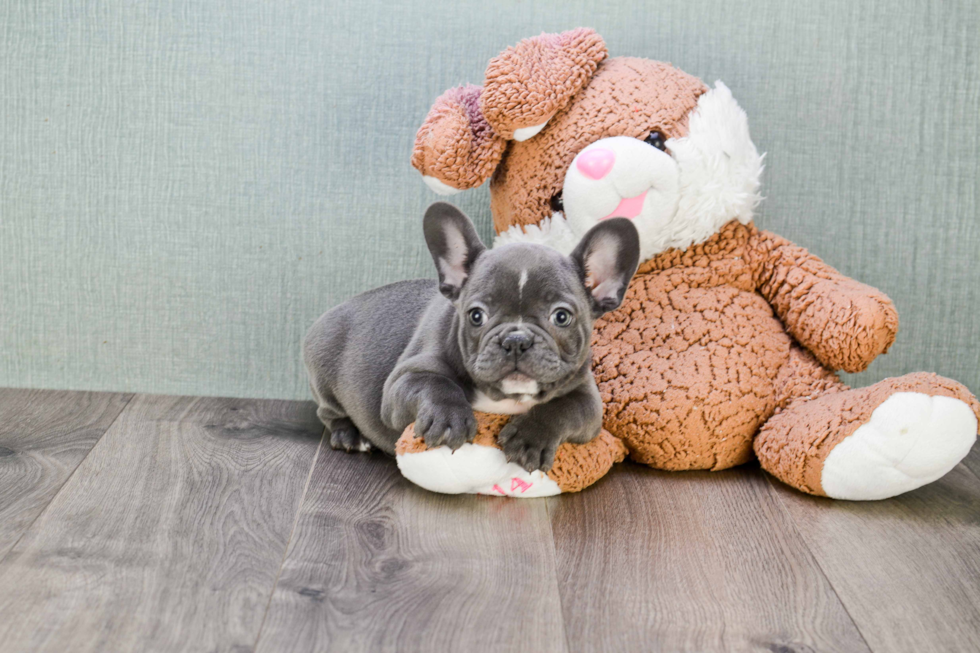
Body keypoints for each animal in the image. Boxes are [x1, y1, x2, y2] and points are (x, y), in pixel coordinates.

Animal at [306, 201, 644, 472]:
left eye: (561, 317)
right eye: (476, 315)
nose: (516, 340)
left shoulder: (588, 400)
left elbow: (565, 409)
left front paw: (530, 437)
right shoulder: (401, 382)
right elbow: (434, 383)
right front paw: (447, 418)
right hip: (323, 372)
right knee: (328, 412)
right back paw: (350, 435)